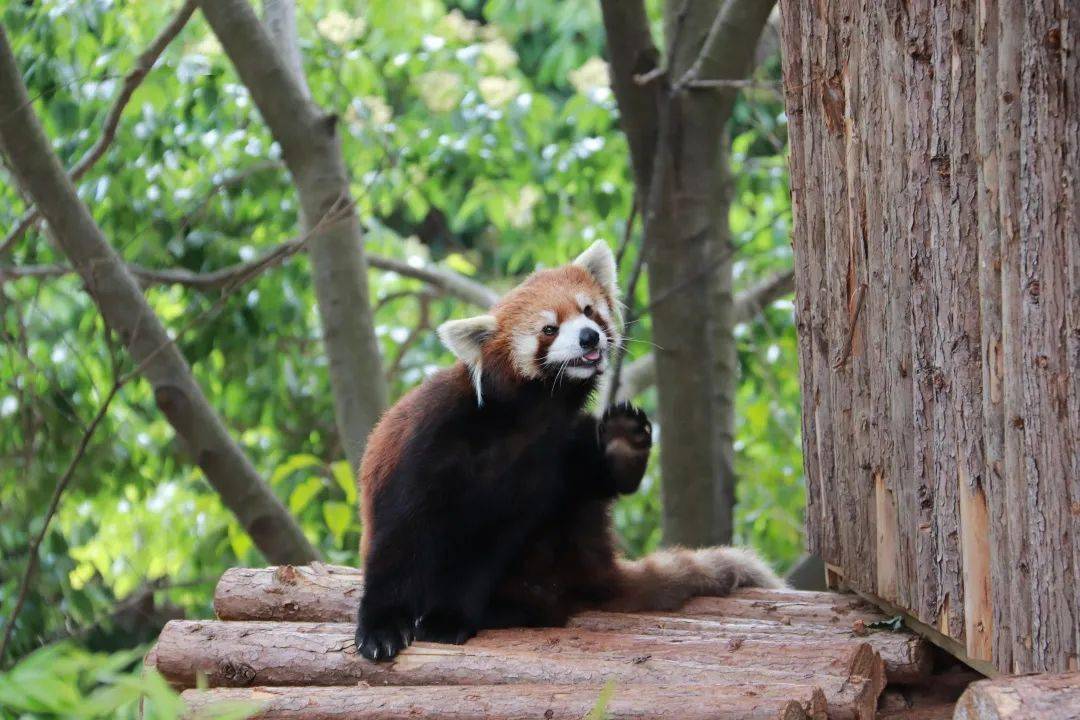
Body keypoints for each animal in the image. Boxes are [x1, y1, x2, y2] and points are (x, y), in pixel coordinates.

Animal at [358, 243, 781, 664]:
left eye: (588, 311)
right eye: (549, 328)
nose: (589, 337)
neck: (527, 417)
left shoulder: (541, 462)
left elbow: (484, 555)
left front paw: (448, 619)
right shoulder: (431, 444)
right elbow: (399, 540)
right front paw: (382, 628)